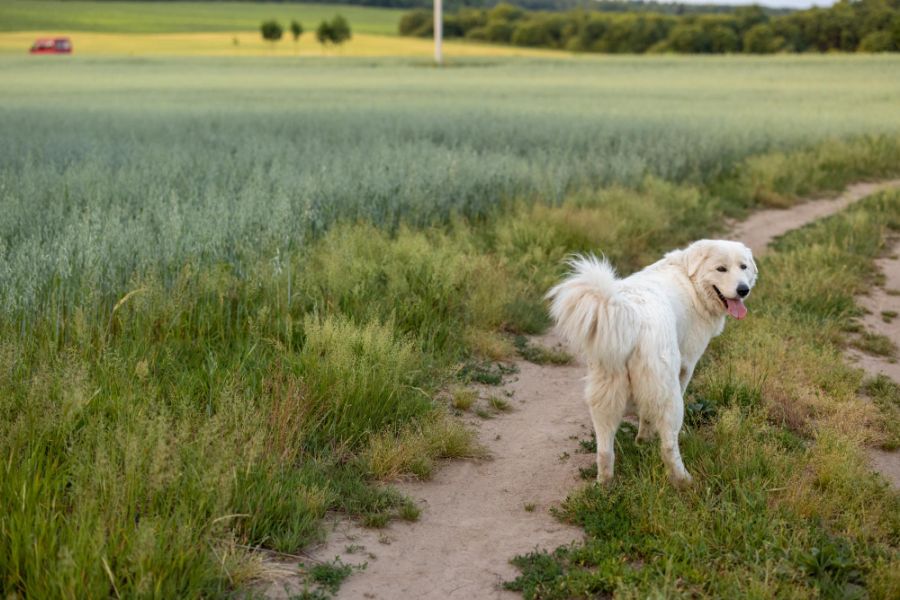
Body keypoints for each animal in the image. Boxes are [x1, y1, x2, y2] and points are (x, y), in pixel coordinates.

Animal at [544, 239, 756, 488]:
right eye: (721, 269)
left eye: (743, 267)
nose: (743, 289)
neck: (690, 281)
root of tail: (630, 314)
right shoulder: (686, 366)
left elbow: (644, 416)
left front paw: (642, 441)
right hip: (667, 393)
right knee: (668, 446)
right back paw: (683, 480)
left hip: (606, 394)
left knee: (605, 450)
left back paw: (605, 484)